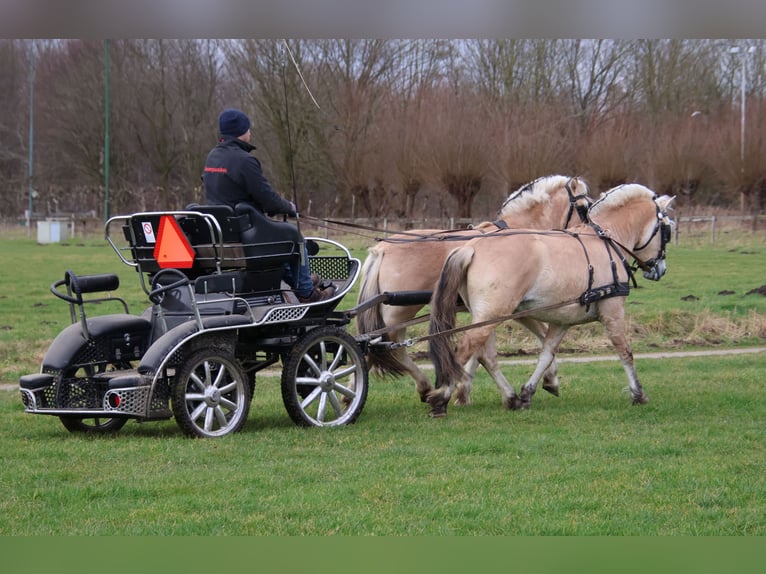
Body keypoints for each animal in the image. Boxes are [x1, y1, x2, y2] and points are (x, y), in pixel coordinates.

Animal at [356, 173, 592, 402]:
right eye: (584, 207)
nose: (590, 230)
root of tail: (382, 249)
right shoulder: (508, 308)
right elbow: (537, 339)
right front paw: (549, 379)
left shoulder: (503, 309)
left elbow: (483, 350)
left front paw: (462, 390)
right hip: (399, 312)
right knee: (381, 347)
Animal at [428, 184, 676, 418]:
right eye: (667, 230)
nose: (660, 270)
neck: (606, 241)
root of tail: (471, 247)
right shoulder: (612, 311)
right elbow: (625, 351)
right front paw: (638, 393)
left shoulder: (562, 321)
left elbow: (546, 355)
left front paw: (528, 392)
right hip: (492, 315)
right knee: (464, 351)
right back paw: (441, 399)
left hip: (486, 317)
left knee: (485, 356)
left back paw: (510, 398)